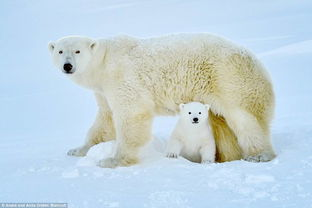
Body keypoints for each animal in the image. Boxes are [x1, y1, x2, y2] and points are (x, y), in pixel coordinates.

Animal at [48, 33, 276, 167]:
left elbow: (131, 114)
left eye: (77, 51)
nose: (68, 65)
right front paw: (77, 150)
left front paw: (112, 160)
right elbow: (105, 120)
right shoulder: (103, 90)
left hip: (229, 79)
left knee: (244, 119)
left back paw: (259, 155)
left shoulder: (122, 78)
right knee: (222, 123)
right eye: (60, 51)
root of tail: (256, 62)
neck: (104, 63)